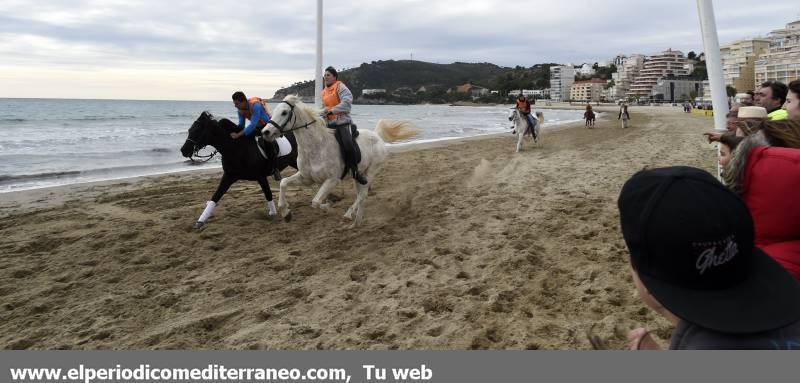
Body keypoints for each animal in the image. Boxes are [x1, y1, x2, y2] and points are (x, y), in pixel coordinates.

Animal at [260, 96, 418, 228]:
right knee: (360, 195)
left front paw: (328, 206)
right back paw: (354, 219)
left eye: (284, 112)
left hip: (371, 172)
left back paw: (351, 217)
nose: (265, 132)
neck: (316, 146)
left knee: (362, 195)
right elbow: (283, 183)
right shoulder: (306, 177)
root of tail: (377, 137)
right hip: (358, 175)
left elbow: (315, 202)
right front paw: (286, 212)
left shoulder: (332, 180)